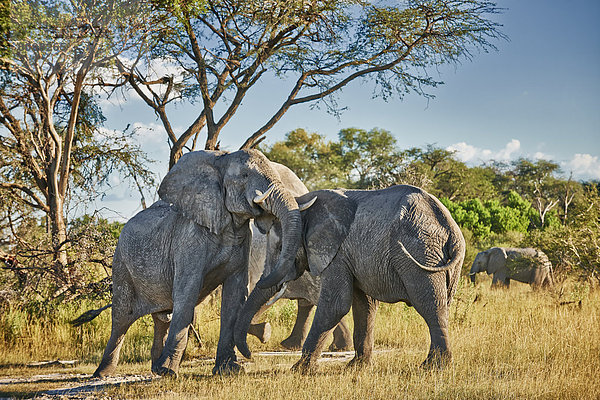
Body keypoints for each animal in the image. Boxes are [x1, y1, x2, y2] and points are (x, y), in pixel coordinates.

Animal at [94, 151, 304, 378]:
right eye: (245, 175)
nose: (265, 334)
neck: (220, 160)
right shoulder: (189, 239)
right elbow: (187, 294)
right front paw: (170, 372)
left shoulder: (243, 239)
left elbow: (234, 296)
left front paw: (229, 369)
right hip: (121, 264)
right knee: (121, 319)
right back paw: (103, 373)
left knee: (162, 318)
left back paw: (155, 368)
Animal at [237, 184, 466, 372]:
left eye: (280, 247)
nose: (249, 356)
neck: (305, 206)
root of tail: (448, 225)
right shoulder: (351, 257)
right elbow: (364, 305)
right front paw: (357, 367)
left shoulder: (337, 253)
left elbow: (335, 305)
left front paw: (298, 370)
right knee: (442, 305)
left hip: (421, 253)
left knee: (430, 305)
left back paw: (434, 367)